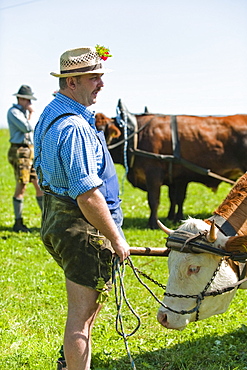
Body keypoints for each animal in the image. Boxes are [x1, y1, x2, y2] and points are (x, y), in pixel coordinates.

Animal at [95, 102, 247, 227]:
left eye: (100, 130)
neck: (136, 135)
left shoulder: (154, 173)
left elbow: (154, 200)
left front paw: (153, 223)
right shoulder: (176, 177)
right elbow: (175, 198)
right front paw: (173, 217)